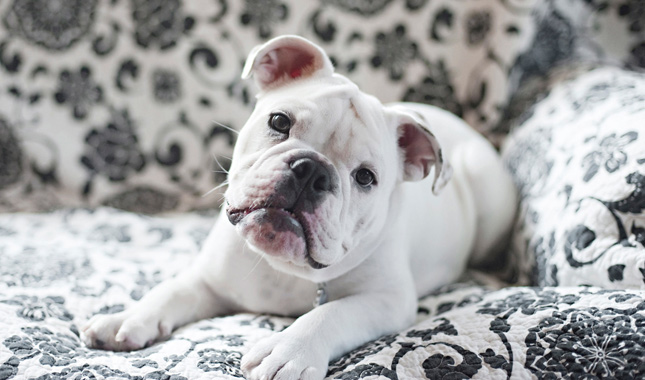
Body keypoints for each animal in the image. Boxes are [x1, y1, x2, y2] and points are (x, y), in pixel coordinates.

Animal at [83, 35, 516, 380]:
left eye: (365, 177)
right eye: (279, 121)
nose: (312, 171)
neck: (285, 268)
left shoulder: (387, 301)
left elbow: (331, 313)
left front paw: (289, 349)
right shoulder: (208, 279)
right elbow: (171, 289)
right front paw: (129, 317)